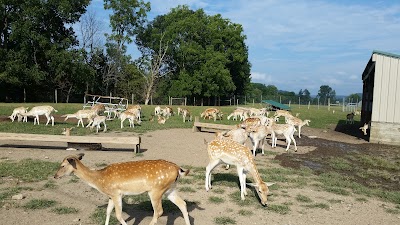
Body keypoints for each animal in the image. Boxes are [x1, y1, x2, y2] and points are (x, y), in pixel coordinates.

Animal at [54, 153, 191, 225]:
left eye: (62, 165)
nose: (55, 176)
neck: (99, 180)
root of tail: (178, 169)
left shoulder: (116, 194)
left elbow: (119, 215)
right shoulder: (110, 196)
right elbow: (108, 211)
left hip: (156, 190)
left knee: (158, 211)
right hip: (170, 189)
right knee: (183, 204)